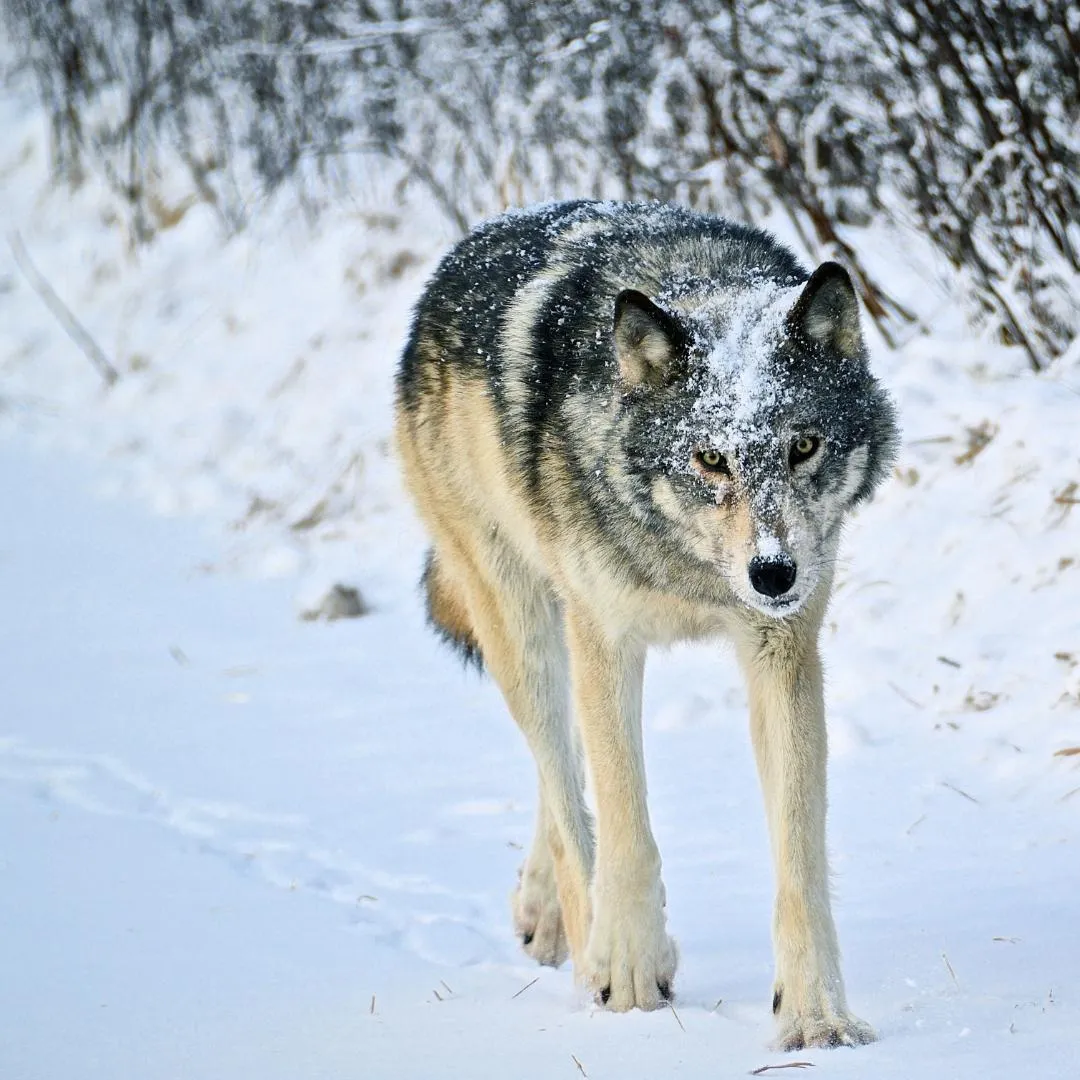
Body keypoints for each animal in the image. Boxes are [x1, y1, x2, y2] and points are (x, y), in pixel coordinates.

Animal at [393, 200, 898, 1045]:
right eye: (710, 459)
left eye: (804, 446)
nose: (774, 574)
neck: (691, 567)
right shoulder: (607, 638)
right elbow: (624, 824)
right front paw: (628, 974)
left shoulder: (783, 651)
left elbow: (799, 859)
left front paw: (816, 1017)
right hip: (525, 628)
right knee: (566, 789)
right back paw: (584, 940)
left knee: (562, 776)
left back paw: (544, 915)